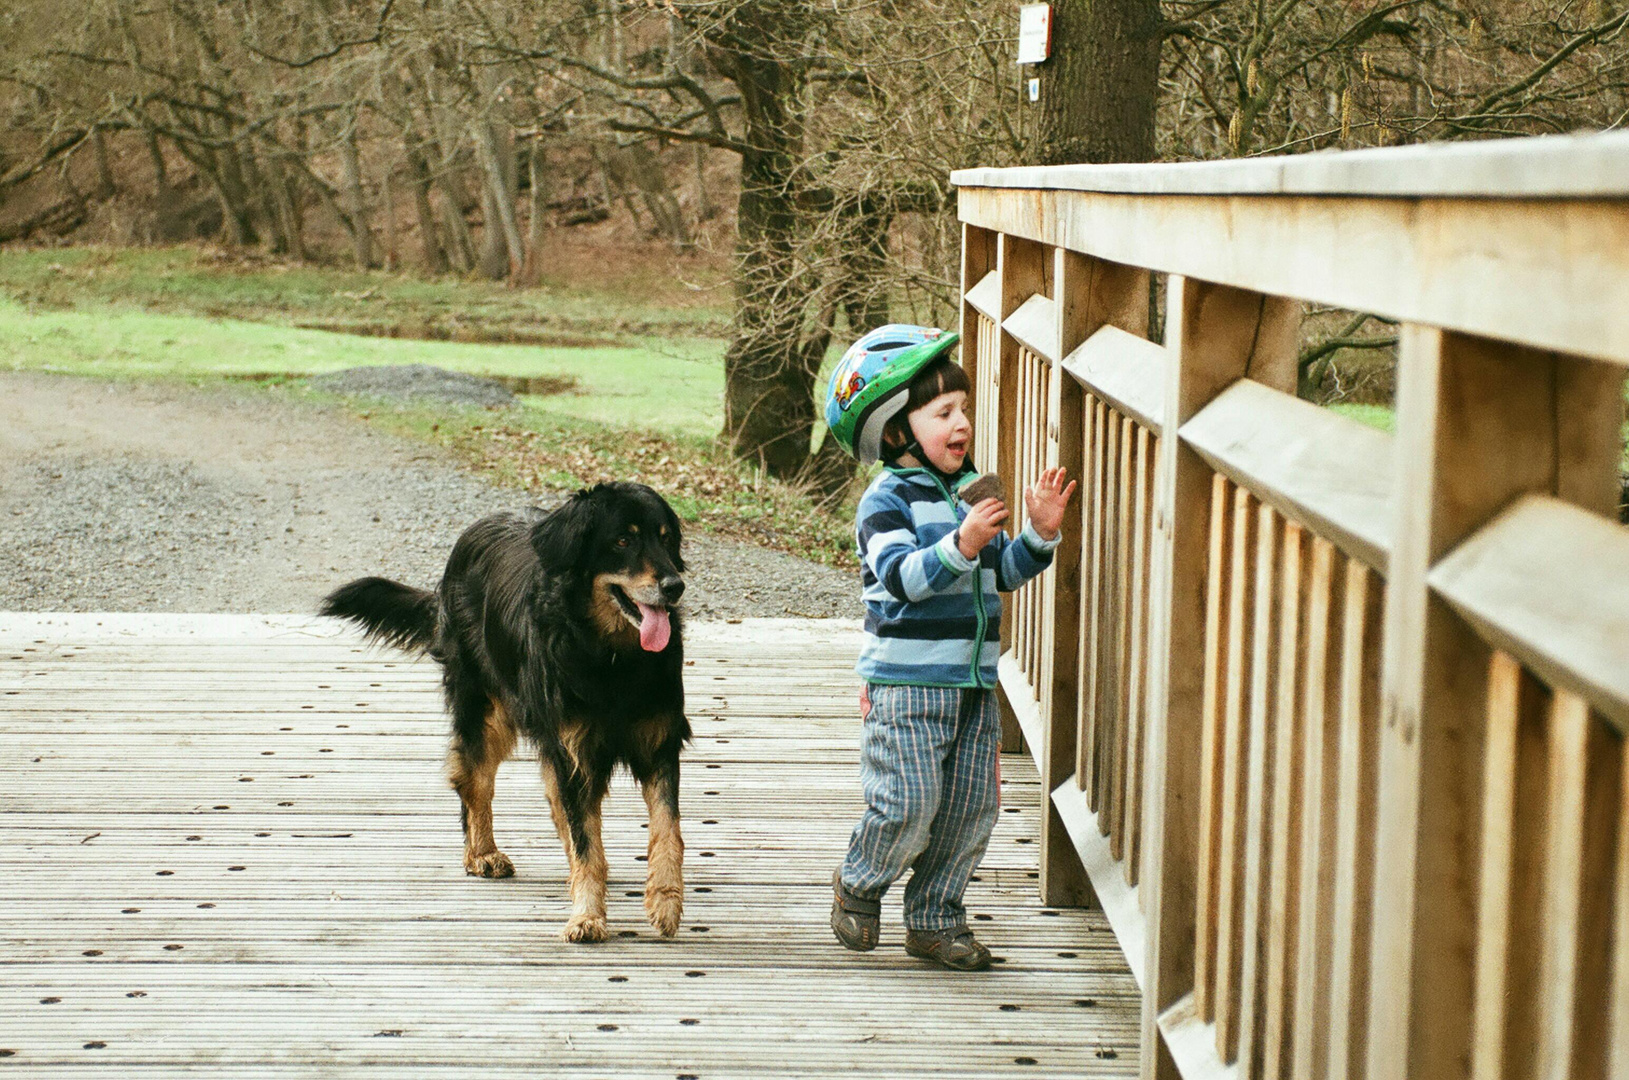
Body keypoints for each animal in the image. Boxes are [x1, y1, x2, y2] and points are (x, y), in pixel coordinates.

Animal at [320, 485, 690, 944]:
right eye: (623, 540)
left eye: (666, 540)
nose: (675, 586)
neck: (612, 657)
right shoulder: (574, 752)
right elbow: (586, 839)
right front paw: (587, 915)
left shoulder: (658, 743)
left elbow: (666, 829)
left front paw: (664, 899)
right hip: (487, 712)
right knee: (473, 780)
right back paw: (482, 853)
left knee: (552, 802)